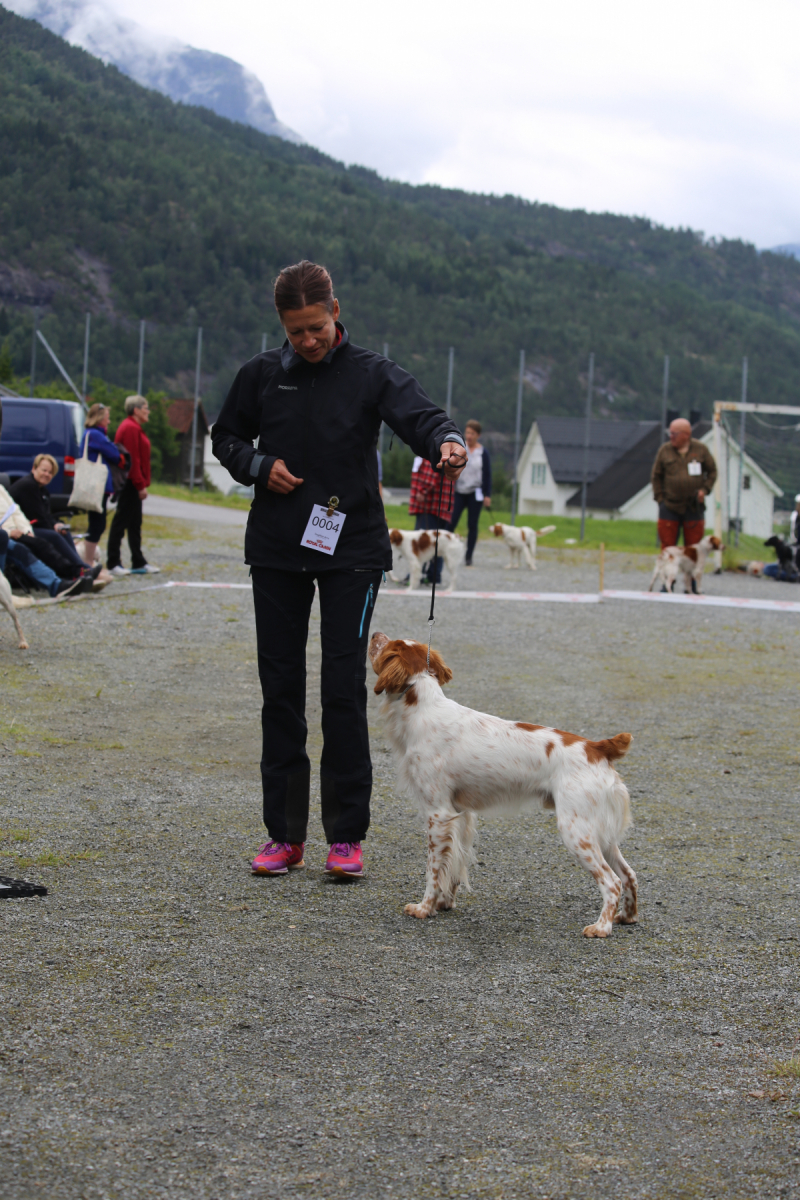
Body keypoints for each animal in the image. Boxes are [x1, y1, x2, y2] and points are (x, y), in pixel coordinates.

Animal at [368, 632, 637, 938]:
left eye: (387, 646)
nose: (375, 634)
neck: (422, 708)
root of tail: (597, 747)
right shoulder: (460, 814)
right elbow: (455, 863)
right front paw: (445, 902)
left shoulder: (438, 813)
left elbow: (433, 869)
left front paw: (425, 907)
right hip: (600, 833)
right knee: (629, 874)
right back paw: (626, 916)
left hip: (576, 831)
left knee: (612, 881)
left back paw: (601, 927)